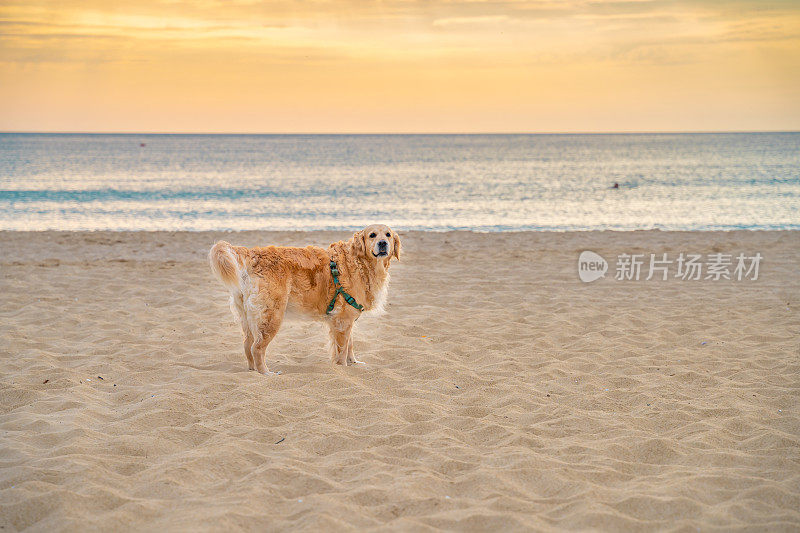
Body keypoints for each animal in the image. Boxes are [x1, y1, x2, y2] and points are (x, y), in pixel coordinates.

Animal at [208, 224, 398, 374]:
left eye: (388, 234)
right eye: (372, 235)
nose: (383, 243)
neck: (360, 262)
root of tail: (254, 254)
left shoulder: (346, 320)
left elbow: (350, 345)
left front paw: (354, 363)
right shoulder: (342, 320)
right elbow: (342, 350)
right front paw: (343, 367)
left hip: (249, 318)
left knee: (247, 345)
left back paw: (253, 370)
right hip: (272, 317)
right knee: (257, 348)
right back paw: (266, 373)